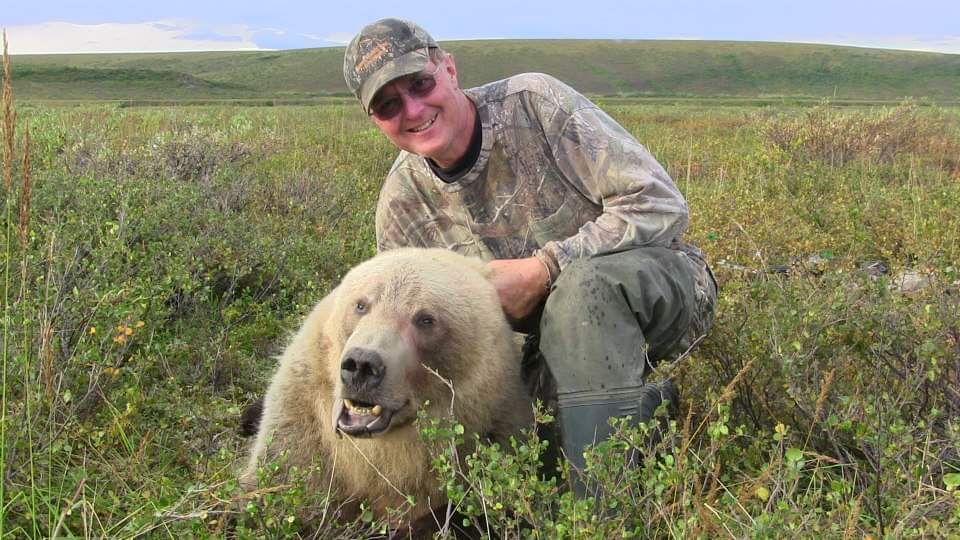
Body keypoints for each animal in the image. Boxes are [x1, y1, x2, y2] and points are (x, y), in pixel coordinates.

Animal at [241, 247, 534, 531]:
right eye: (361, 304)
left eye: (425, 319)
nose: (361, 365)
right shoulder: (306, 427)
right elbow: (277, 484)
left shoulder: (494, 432)